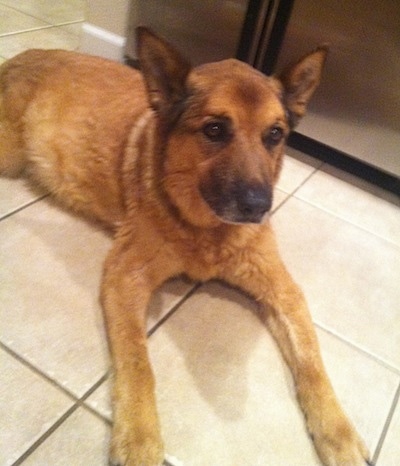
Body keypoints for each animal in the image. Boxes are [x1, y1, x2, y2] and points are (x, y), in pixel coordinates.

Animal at [0, 28, 372, 466]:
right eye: (214, 130)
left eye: (274, 135)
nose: (259, 207)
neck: (207, 232)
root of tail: (23, 56)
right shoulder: (124, 279)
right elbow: (138, 364)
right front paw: (139, 439)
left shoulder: (283, 292)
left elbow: (313, 362)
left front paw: (338, 433)